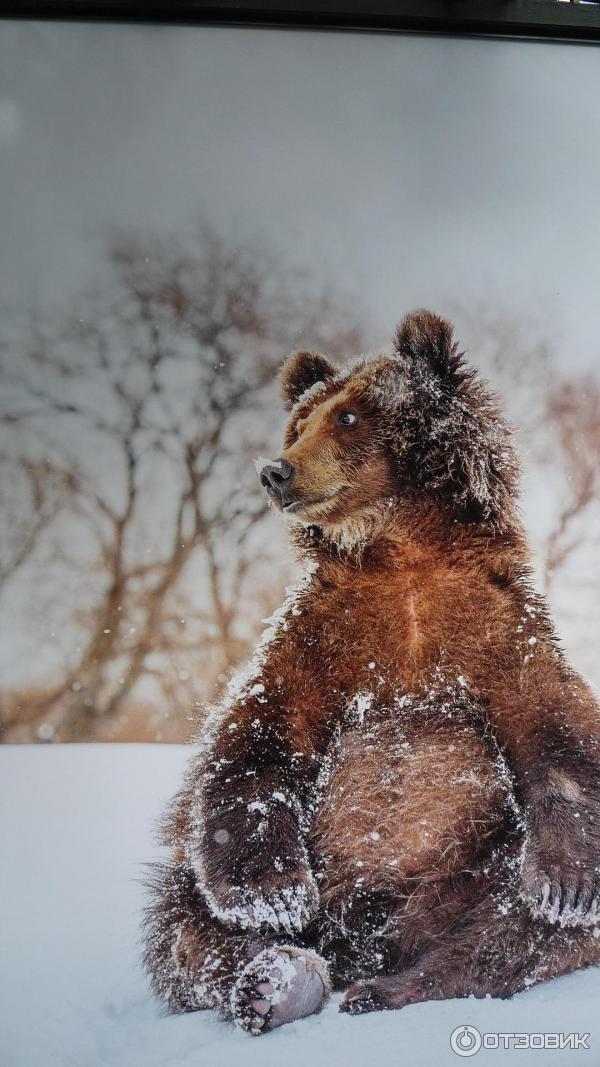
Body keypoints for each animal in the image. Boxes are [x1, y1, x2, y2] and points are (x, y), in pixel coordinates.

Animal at [140, 309, 600, 1032]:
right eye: (300, 422)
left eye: (350, 415)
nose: (276, 471)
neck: (401, 553)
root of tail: (362, 943)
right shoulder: (322, 638)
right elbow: (257, 737)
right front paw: (272, 896)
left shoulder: (502, 632)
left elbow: (557, 731)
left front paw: (565, 884)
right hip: (263, 885)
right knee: (182, 924)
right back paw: (276, 978)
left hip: (459, 872)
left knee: (509, 916)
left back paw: (398, 986)